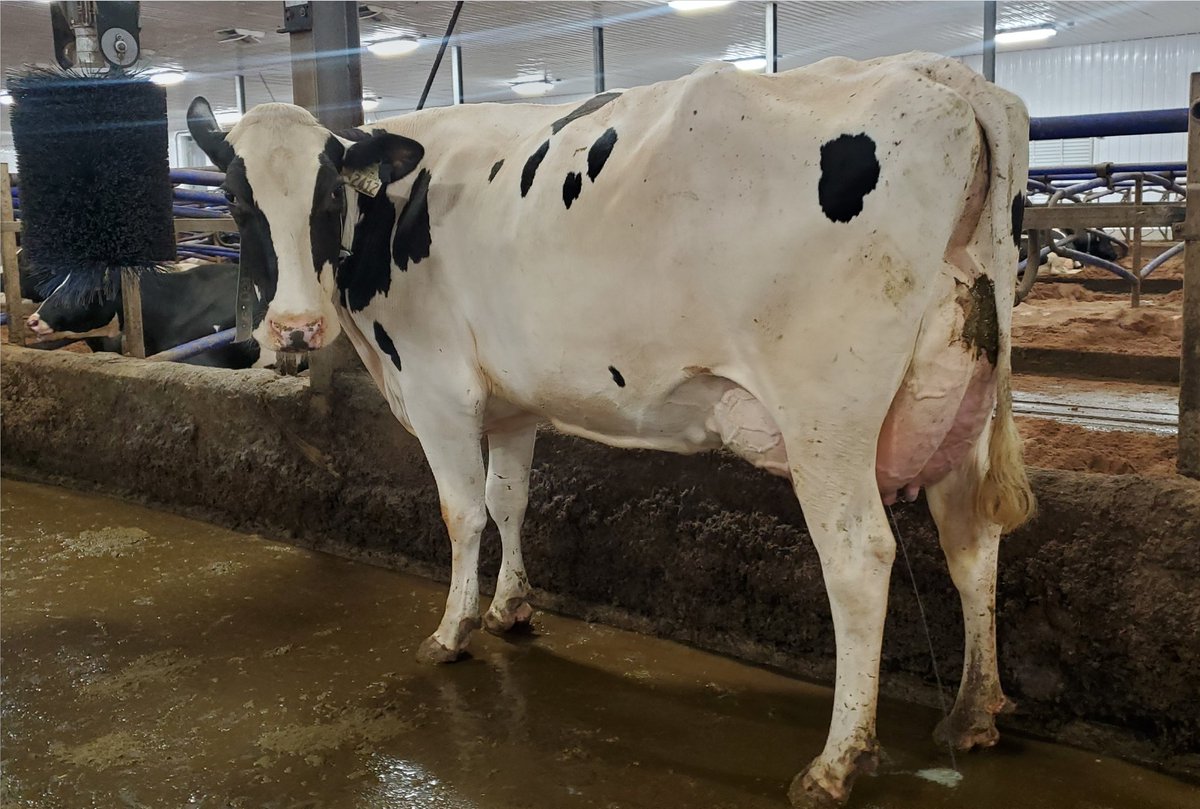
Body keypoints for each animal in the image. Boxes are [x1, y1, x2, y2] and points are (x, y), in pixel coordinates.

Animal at [187, 52, 1035, 808]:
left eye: (329, 199)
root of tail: (942, 74)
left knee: (859, 558)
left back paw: (837, 762)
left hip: (825, 414)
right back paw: (973, 711)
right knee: (973, 538)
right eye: (236, 201)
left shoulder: (438, 388)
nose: (296, 328)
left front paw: (452, 629)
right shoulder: (513, 400)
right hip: (963, 392)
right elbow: (509, 500)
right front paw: (510, 607)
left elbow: (462, 514)